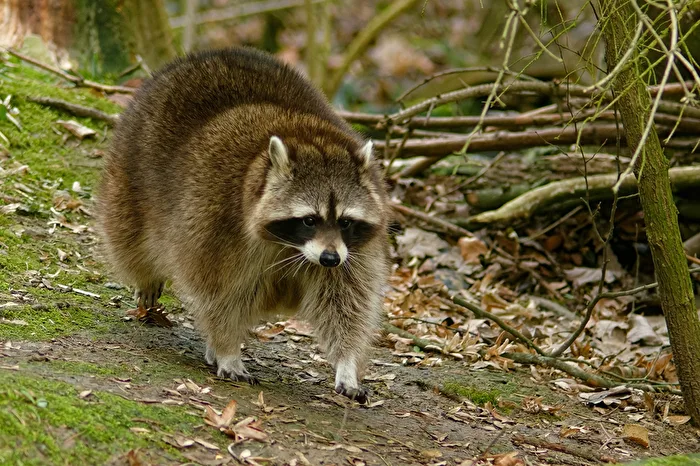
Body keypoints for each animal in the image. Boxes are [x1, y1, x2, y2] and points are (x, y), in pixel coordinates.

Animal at [97, 48, 390, 402]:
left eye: (345, 221)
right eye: (309, 219)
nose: (330, 259)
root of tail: (212, 54)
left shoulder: (355, 252)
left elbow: (347, 304)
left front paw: (347, 364)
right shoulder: (213, 225)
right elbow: (218, 294)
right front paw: (226, 348)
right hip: (131, 172)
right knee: (129, 238)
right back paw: (149, 278)